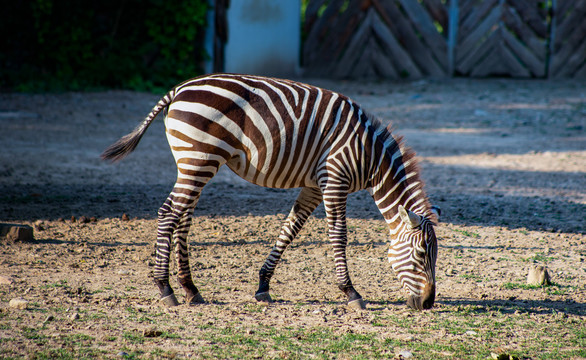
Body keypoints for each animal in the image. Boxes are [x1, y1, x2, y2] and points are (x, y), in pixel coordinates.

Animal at [101, 72, 438, 310]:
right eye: (422, 254)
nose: (427, 304)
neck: (370, 158)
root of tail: (179, 90)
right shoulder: (334, 180)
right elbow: (339, 235)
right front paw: (351, 292)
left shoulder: (314, 186)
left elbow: (290, 229)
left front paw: (263, 285)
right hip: (198, 160)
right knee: (168, 213)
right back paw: (165, 288)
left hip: (196, 164)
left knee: (182, 218)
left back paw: (190, 289)